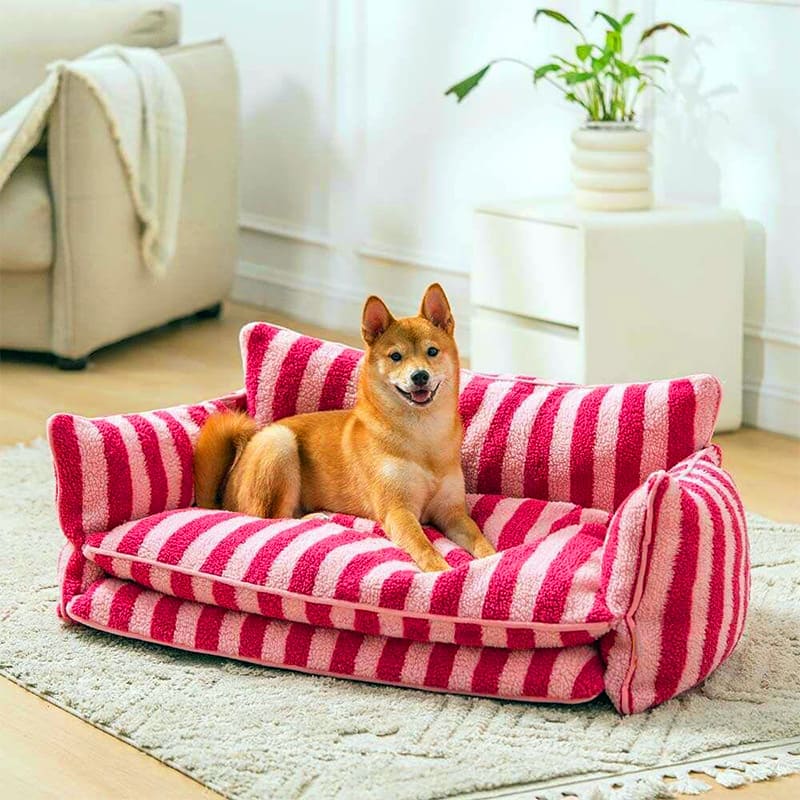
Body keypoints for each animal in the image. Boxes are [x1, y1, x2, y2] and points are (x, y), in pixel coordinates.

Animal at [194, 284, 494, 572]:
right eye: (396, 356)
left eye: (432, 351)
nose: (419, 376)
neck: (422, 437)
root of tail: (223, 497)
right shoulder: (398, 511)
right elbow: (423, 545)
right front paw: (439, 569)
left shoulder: (452, 512)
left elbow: (480, 538)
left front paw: (492, 559)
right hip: (279, 443)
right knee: (273, 518)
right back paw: (312, 517)